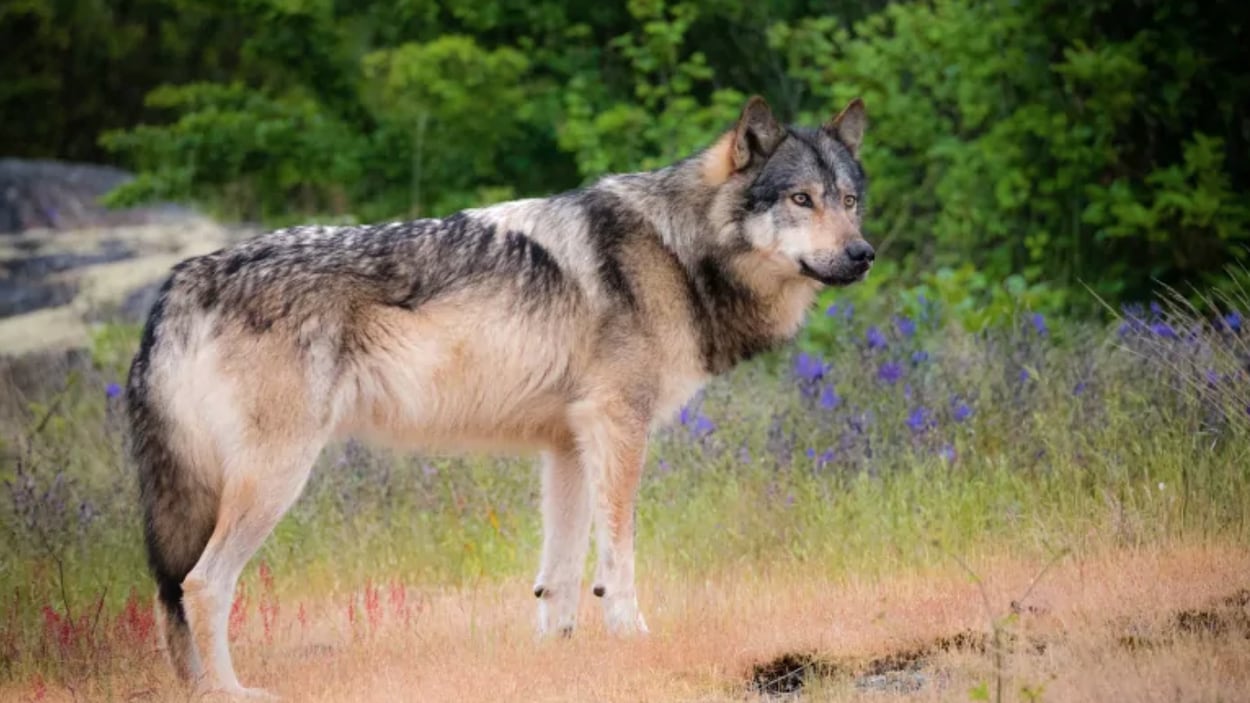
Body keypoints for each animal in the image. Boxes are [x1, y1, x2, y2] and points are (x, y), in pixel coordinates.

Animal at [124, 95, 870, 690]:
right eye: (800, 199)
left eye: (849, 200)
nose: (863, 255)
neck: (676, 251)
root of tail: (181, 280)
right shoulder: (618, 427)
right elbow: (618, 557)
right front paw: (632, 638)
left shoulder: (568, 444)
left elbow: (559, 576)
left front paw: (558, 659)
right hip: (274, 478)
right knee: (201, 584)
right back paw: (230, 691)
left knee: (176, 593)